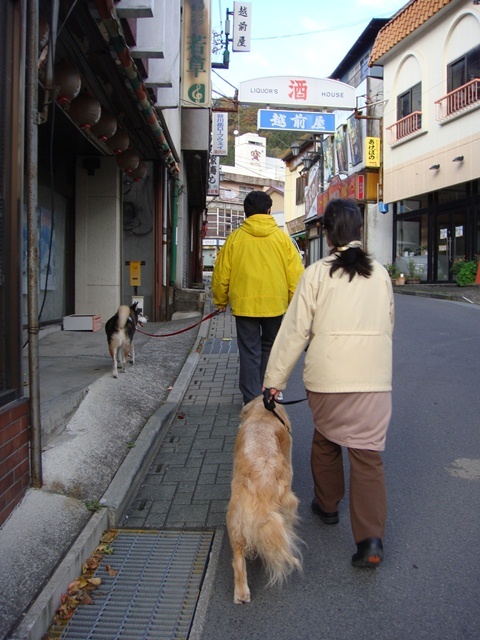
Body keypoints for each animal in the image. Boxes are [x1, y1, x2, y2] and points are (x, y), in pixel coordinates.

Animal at [227, 396, 302, 604]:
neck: (263, 412)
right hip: (287, 502)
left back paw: (241, 594)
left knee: (237, 561)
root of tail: (262, 483)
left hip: (235, 519)